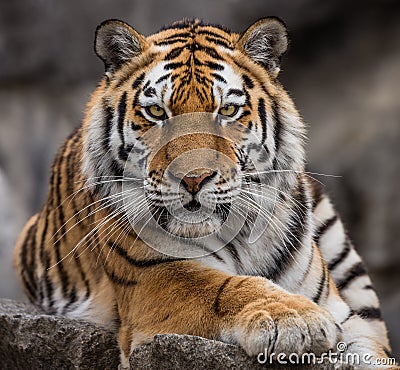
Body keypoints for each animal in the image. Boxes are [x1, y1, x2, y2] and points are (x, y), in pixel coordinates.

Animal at [13, 16, 394, 368]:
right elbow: (225, 286)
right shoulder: (153, 276)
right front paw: (296, 318)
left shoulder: (351, 319)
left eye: (227, 110)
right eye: (157, 112)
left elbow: (374, 352)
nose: (194, 179)